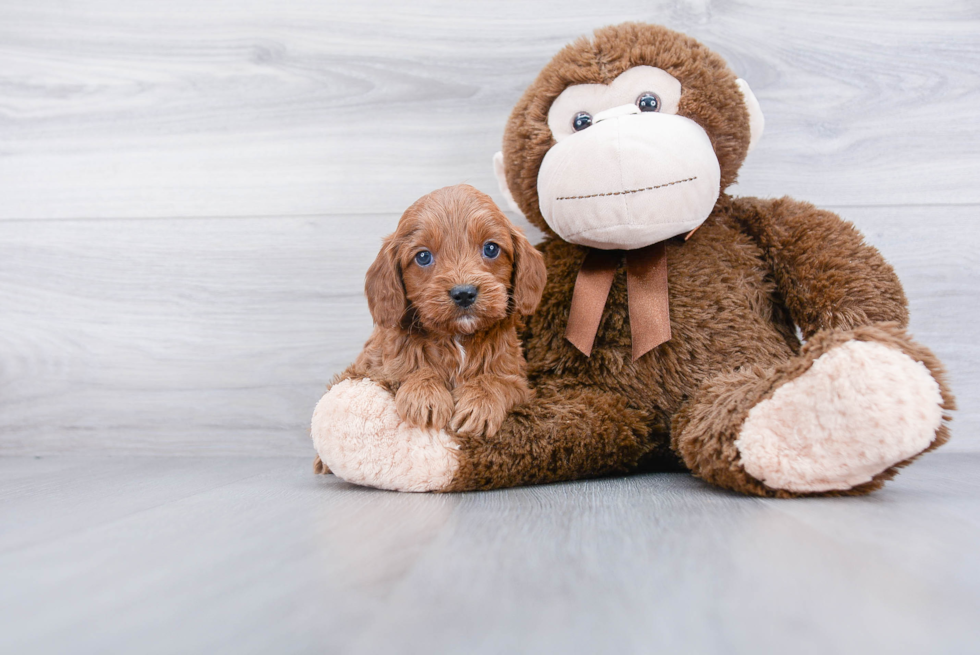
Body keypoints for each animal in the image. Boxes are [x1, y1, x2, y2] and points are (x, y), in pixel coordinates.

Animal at [346, 184, 544, 438]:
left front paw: (480, 403)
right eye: (423, 256)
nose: (464, 293)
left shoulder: (519, 380)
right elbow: (405, 370)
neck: (457, 338)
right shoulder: (372, 369)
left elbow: (501, 381)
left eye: (491, 248)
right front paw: (424, 394)